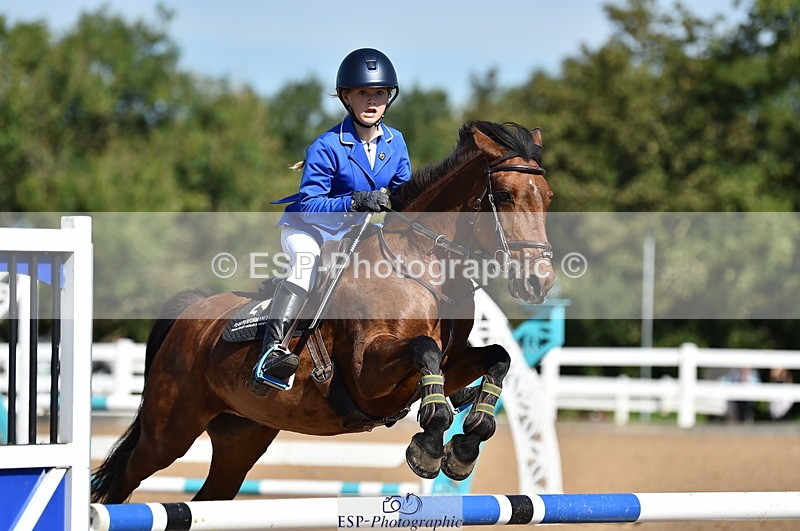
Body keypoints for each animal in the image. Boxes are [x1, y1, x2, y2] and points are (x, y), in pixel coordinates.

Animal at [91, 120, 555, 503]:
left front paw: (465, 445)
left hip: (241, 436)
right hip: (170, 430)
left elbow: (497, 357)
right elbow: (423, 348)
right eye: (503, 196)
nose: (540, 282)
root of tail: (193, 309)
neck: (423, 270)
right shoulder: (370, 375)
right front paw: (428, 447)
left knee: (209, 498)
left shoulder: (449, 364)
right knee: (125, 480)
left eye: (548, 198)